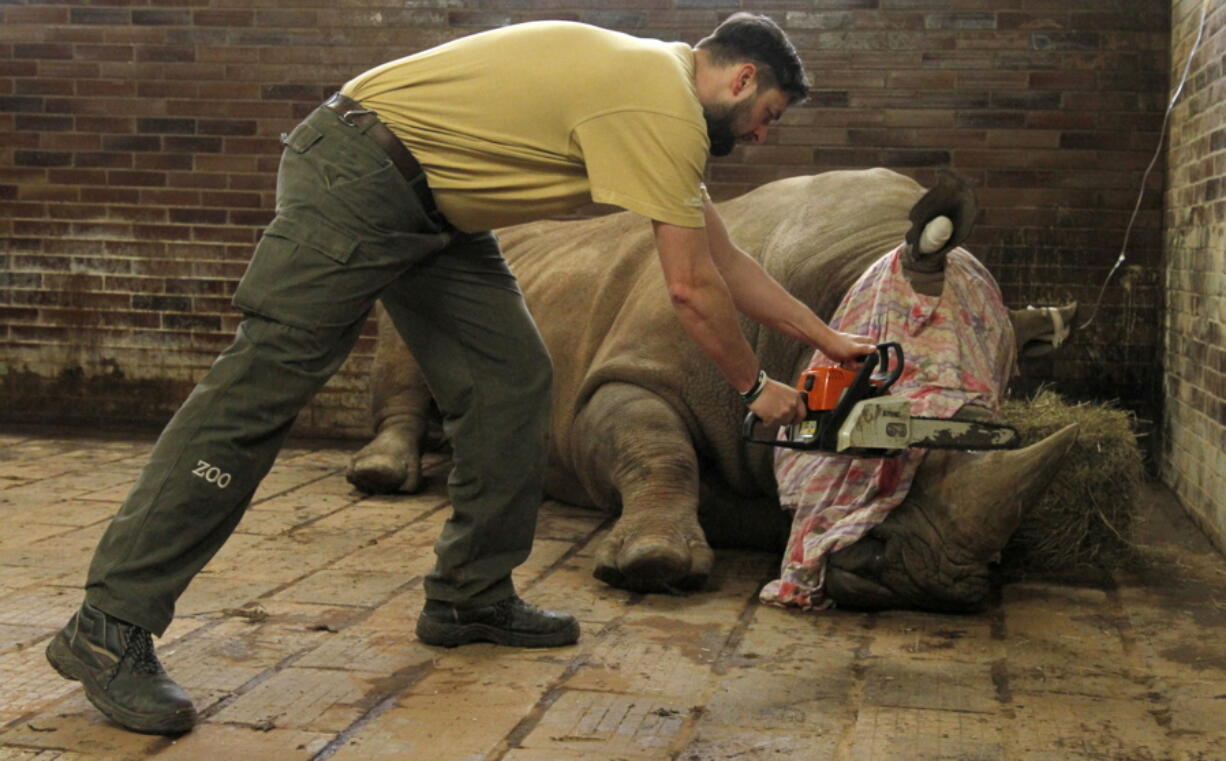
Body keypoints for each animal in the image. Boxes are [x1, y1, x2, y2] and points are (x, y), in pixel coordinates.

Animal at [350, 167, 1078, 610]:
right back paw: (382, 475)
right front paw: (652, 561)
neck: (843, 273)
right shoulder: (628, 373)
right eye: (889, 434)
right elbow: (657, 450)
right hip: (433, 259)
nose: (930, 581)